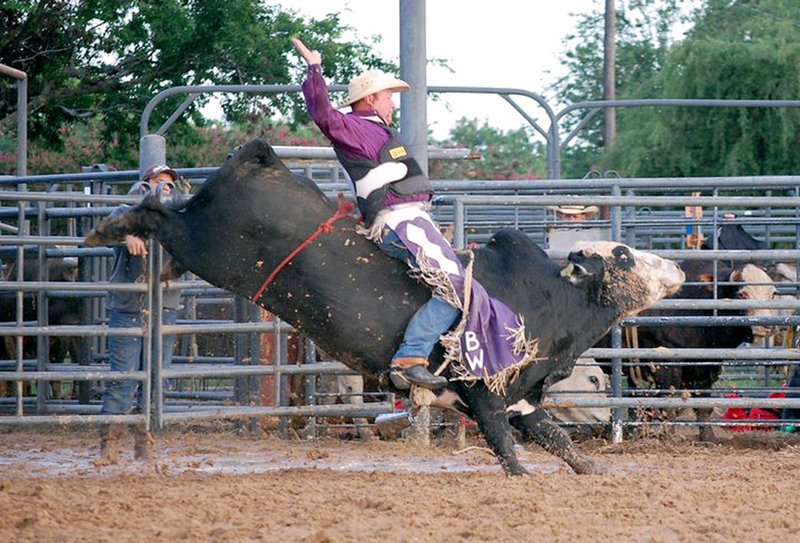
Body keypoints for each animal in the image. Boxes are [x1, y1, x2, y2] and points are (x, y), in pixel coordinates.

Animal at [84, 140, 684, 476]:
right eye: (623, 254)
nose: (677, 268)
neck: (548, 299)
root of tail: (266, 163)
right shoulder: (484, 394)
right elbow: (507, 450)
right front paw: (526, 478)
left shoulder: (519, 397)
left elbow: (556, 439)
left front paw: (593, 471)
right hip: (208, 245)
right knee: (159, 217)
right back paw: (109, 226)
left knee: (166, 213)